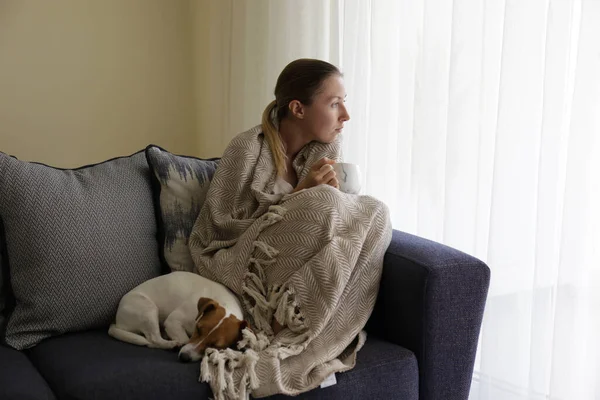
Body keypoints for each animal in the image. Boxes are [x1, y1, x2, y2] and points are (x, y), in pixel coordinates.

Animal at [109, 272, 247, 362]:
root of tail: (117, 321)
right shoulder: (173, 321)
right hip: (148, 309)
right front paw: (179, 342)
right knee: (153, 340)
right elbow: (185, 339)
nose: (184, 357)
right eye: (198, 329)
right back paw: (171, 344)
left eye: (215, 346)